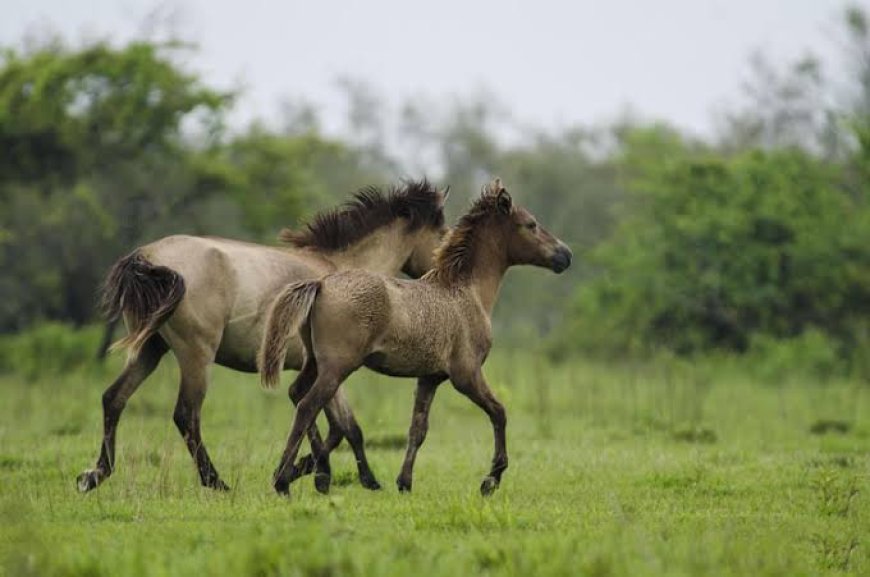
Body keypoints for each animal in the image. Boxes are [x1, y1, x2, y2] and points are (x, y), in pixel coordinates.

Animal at [76, 179, 450, 490]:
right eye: (443, 233)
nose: (440, 274)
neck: (342, 273)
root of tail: (148, 256)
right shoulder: (333, 368)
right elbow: (339, 427)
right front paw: (315, 474)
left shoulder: (320, 369)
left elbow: (338, 426)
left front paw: (315, 472)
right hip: (196, 355)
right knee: (186, 415)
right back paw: (215, 481)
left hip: (151, 349)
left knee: (114, 398)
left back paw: (94, 475)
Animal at [258, 179, 572, 496]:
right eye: (531, 224)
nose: (565, 255)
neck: (466, 291)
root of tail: (320, 285)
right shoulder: (466, 374)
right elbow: (499, 412)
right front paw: (491, 479)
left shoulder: (429, 378)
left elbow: (417, 429)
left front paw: (404, 483)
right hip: (336, 367)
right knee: (307, 407)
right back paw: (284, 481)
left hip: (314, 362)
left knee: (297, 394)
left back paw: (298, 473)